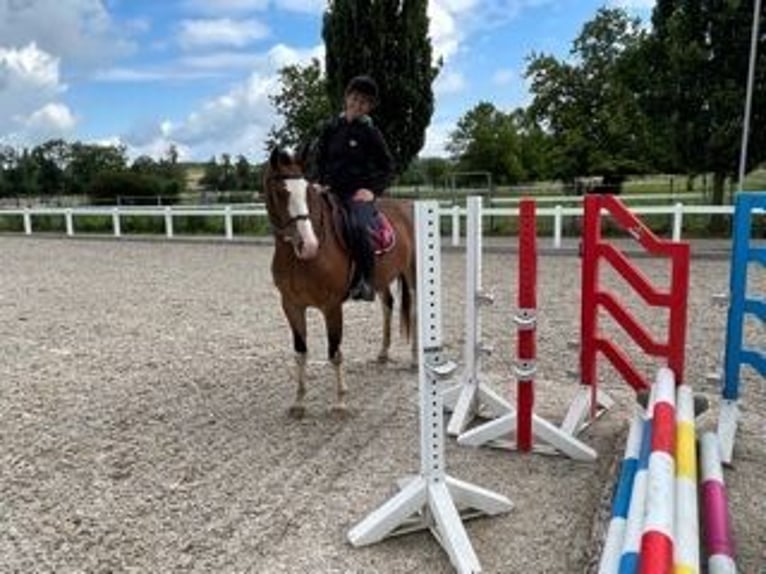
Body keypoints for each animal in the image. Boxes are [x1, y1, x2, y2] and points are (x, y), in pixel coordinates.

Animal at [264, 148, 420, 418]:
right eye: (281, 192)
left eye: (307, 191)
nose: (309, 245)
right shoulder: (291, 306)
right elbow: (300, 352)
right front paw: (299, 402)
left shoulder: (331, 306)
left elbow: (334, 352)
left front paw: (340, 402)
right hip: (381, 280)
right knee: (388, 305)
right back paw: (383, 353)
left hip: (412, 273)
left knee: (414, 312)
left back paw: (414, 361)